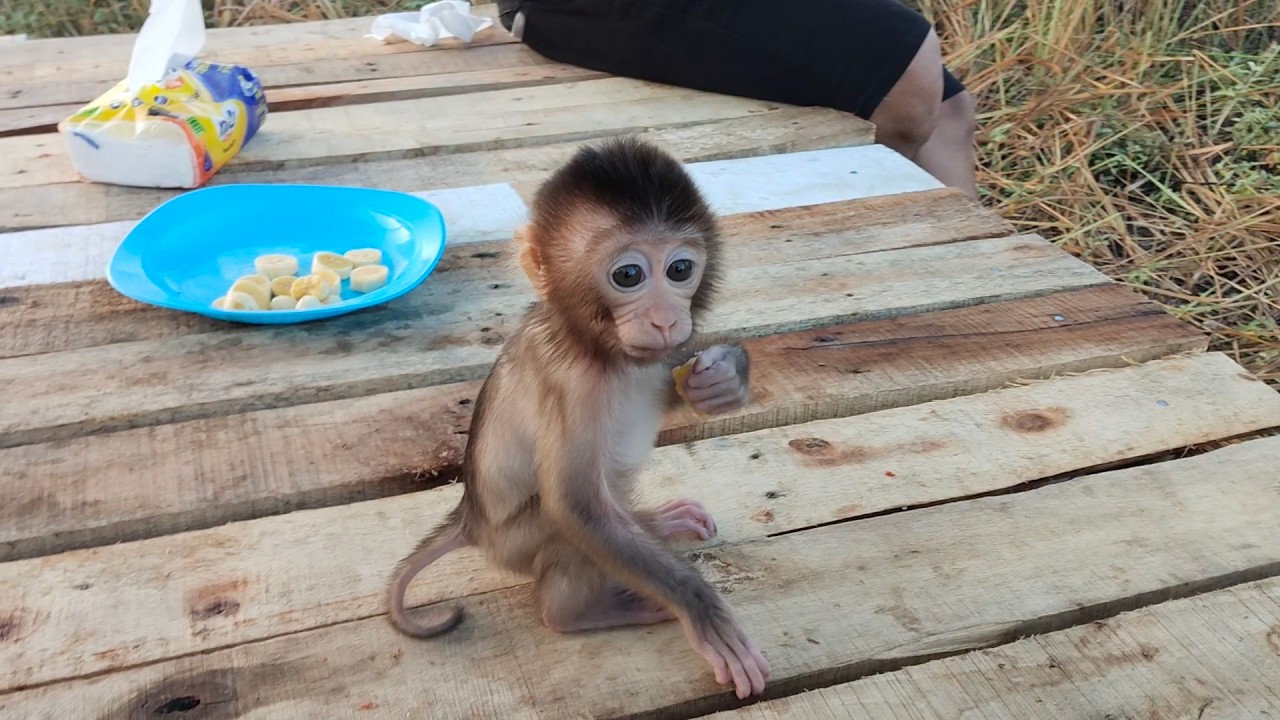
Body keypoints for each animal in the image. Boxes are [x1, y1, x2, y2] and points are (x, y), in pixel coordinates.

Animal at [386, 136, 769, 699]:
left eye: (680, 269)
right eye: (628, 275)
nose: (666, 319)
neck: (593, 345)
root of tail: (470, 517)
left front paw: (722, 378)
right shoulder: (572, 386)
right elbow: (575, 506)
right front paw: (703, 612)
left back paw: (653, 521)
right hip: (514, 541)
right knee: (563, 524)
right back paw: (577, 613)